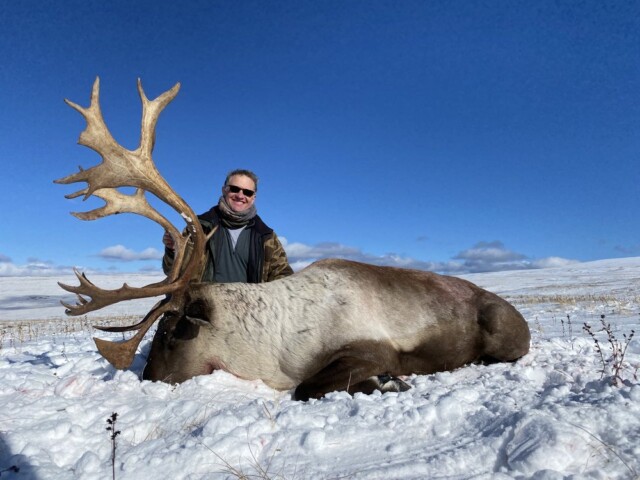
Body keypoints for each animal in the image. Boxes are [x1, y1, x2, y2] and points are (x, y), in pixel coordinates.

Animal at [56, 78, 531, 401]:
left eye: (171, 332)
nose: (148, 379)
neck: (270, 340)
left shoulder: (371, 348)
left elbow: (307, 387)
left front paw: (387, 384)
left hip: (502, 333)